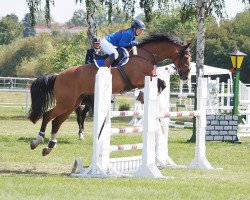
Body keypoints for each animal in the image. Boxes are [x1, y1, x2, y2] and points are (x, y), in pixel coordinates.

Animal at [27, 32, 191, 156]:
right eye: (186, 57)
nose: (186, 75)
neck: (145, 56)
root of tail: (58, 75)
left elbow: (161, 84)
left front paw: (145, 97)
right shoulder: (138, 78)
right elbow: (158, 83)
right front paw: (144, 97)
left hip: (73, 103)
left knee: (57, 122)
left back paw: (49, 147)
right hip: (66, 102)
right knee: (48, 115)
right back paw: (37, 141)